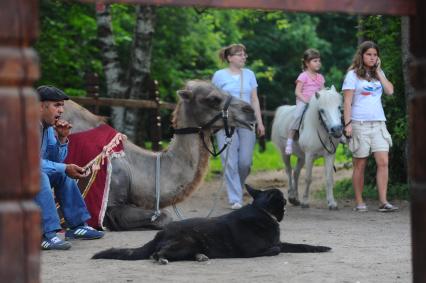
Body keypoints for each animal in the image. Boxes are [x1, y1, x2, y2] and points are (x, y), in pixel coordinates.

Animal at [93, 185, 332, 266]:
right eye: (282, 202)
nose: (286, 208)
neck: (261, 212)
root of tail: (160, 233)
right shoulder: (255, 250)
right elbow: (276, 248)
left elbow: (301, 246)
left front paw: (321, 248)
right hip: (186, 241)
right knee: (156, 254)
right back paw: (163, 258)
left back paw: (200, 257)